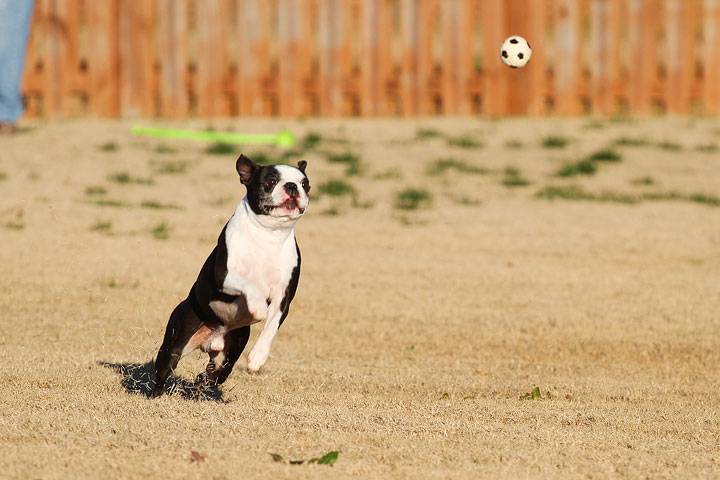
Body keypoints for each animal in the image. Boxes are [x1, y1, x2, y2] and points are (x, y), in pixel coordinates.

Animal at [152, 154, 310, 398]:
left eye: (305, 184)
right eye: (270, 181)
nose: (292, 186)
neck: (269, 235)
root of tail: (214, 336)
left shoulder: (284, 297)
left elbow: (271, 326)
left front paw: (257, 357)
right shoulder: (225, 276)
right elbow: (250, 285)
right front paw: (258, 307)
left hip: (230, 350)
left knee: (213, 376)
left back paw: (200, 384)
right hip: (176, 341)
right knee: (163, 369)